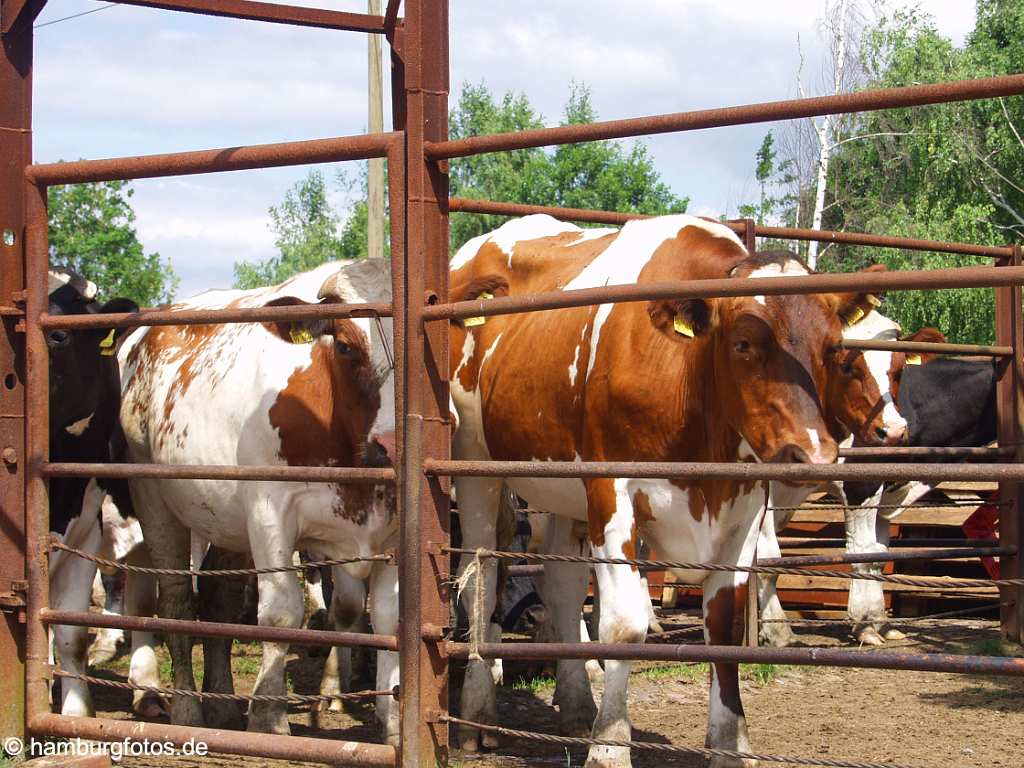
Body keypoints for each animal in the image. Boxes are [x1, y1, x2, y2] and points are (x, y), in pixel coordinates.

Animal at [117, 260, 395, 741]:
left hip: (226, 519)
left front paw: (397, 723)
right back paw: (187, 708)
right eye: (344, 346)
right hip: (154, 500)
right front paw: (269, 716)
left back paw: (223, 706)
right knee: (176, 602)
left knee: (219, 598)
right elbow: (281, 613)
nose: (391, 446)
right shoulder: (271, 512)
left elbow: (392, 619)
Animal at [448, 215, 888, 768]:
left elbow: (724, 628)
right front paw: (610, 746)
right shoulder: (611, 491)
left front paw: (730, 744)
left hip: (561, 492)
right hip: (477, 466)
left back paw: (576, 706)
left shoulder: (742, 504)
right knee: (481, 576)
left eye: (833, 350)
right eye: (743, 345)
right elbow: (623, 625)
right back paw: (477, 714)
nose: (811, 454)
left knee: (563, 588)